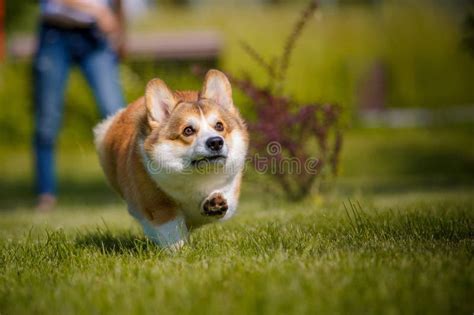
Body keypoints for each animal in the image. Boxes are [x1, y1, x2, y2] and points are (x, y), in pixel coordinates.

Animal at [92, 69, 248, 249]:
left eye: (219, 126)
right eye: (188, 130)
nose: (216, 142)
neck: (197, 176)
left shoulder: (230, 189)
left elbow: (223, 199)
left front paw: (215, 203)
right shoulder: (158, 205)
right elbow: (171, 229)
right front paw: (179, 250)